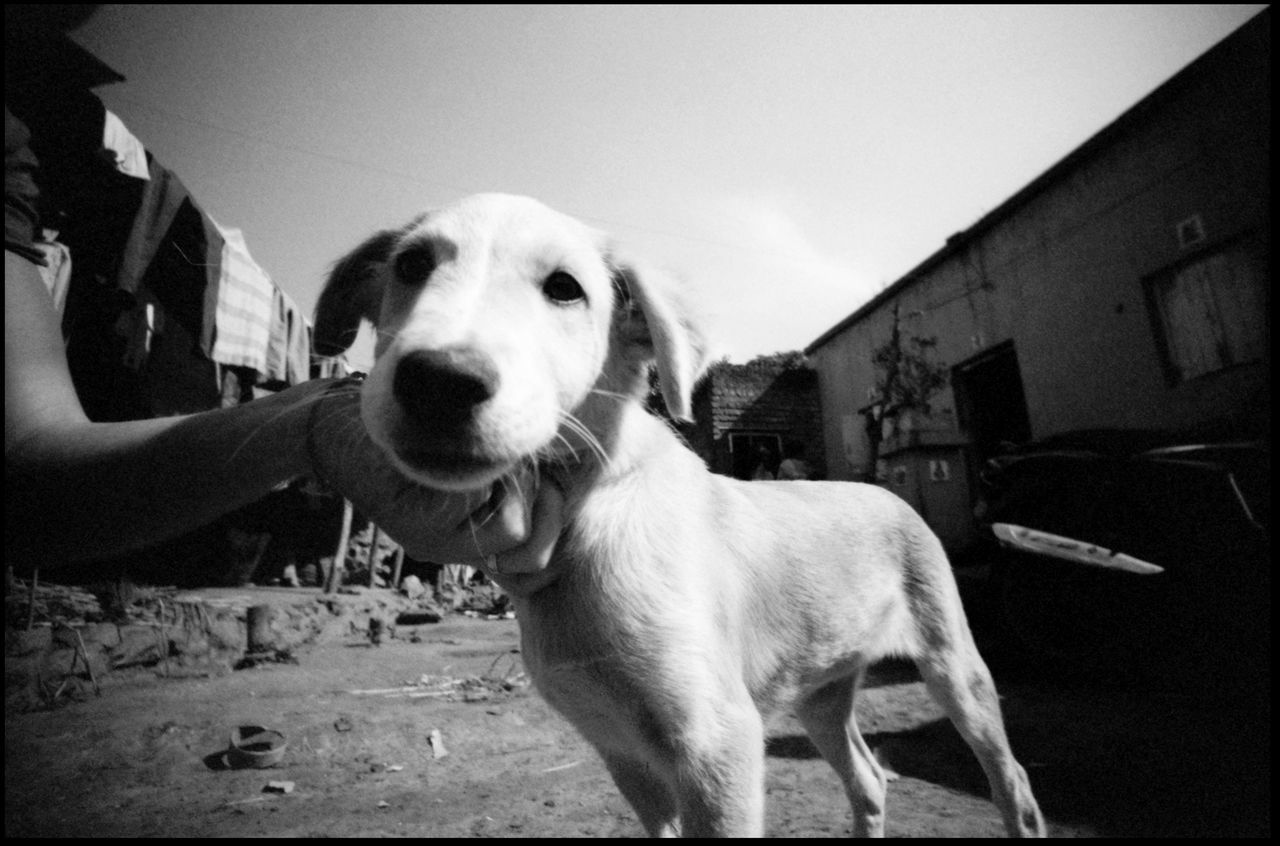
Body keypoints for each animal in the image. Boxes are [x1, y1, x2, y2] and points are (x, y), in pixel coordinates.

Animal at [314, 194, 1044, 834]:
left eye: (565, 288)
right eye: (411, 265)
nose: (439, 380)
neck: (578, 526)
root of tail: (890, 493)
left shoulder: (719, 743)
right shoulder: (622, 754)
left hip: (955, 667)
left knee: (1014, 783)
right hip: (821, 691)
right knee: (867, 780)